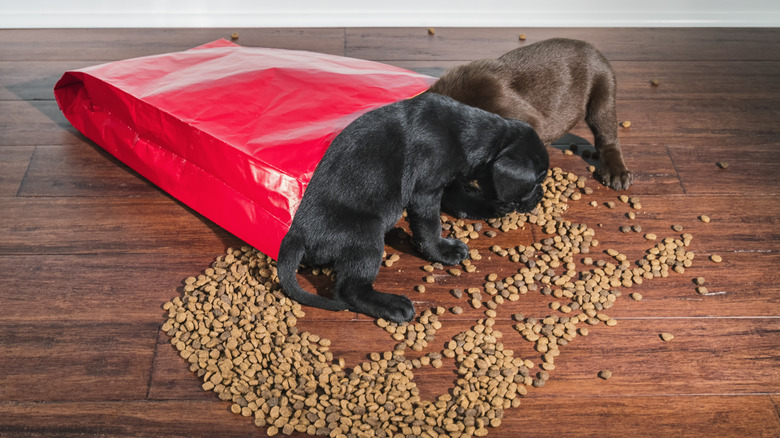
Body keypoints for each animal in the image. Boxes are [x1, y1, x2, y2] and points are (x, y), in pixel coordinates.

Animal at [278, 92, 544, 322]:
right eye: (536, 181)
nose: (540, 197)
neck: (469, 135)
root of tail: (295, 236)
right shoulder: (425, 191)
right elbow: (430, 227)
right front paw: (442, 251)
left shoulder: (449, 180)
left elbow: (461, 198)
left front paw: (489, 206)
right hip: (367, 235)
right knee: (350, 289)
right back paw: (394, 305)